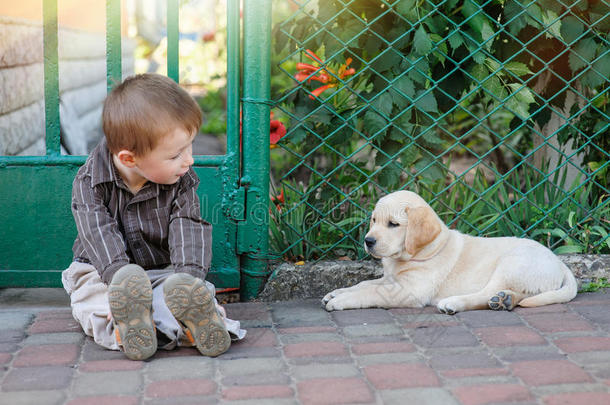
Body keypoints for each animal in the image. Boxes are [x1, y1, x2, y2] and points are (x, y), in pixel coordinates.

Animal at [324, 189, 576, 312]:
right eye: (374, 220)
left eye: (393, 224)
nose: (368, 241)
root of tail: (561, 264)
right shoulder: (392, 279)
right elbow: (365, 283)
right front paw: (337, 292)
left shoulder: (409, 290)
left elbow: (372, 292)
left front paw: (341, 300)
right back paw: (504, 300)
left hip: (511, 264)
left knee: (483, 293)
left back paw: (453, 303)